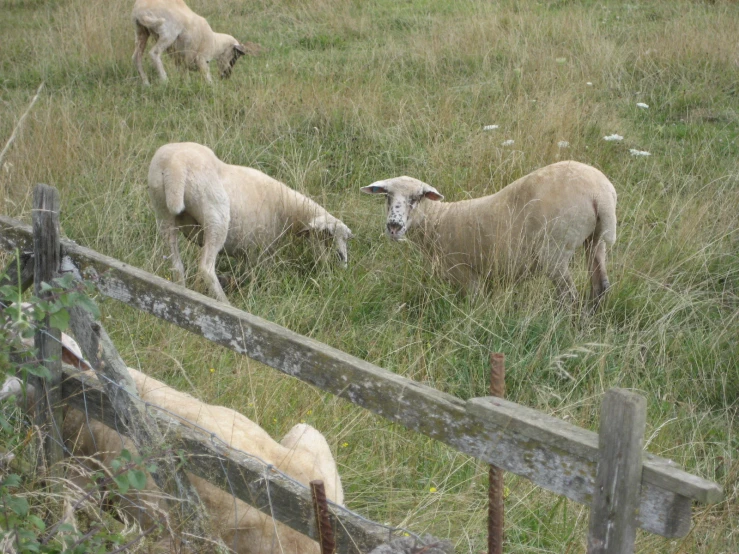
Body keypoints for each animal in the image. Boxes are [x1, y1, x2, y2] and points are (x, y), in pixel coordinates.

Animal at [149, 141, 354, 302]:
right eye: (332, 236)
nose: (343, 267)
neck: (290, 210)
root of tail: (175, 166)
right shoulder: (259, 250)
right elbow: (260, 275)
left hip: (163, 214)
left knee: (177, 265)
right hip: (216, 215)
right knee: (206, 267)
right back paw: (224, 302)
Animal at [362, 160, 616, 308]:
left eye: (416, 198)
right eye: (387, 196)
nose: (393, 227)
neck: (438, 219)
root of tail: (600, 192)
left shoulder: (466, 274)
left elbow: (475, 304)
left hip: (555, 249)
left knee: (569, 295)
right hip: (595, 239)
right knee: (600, 284)